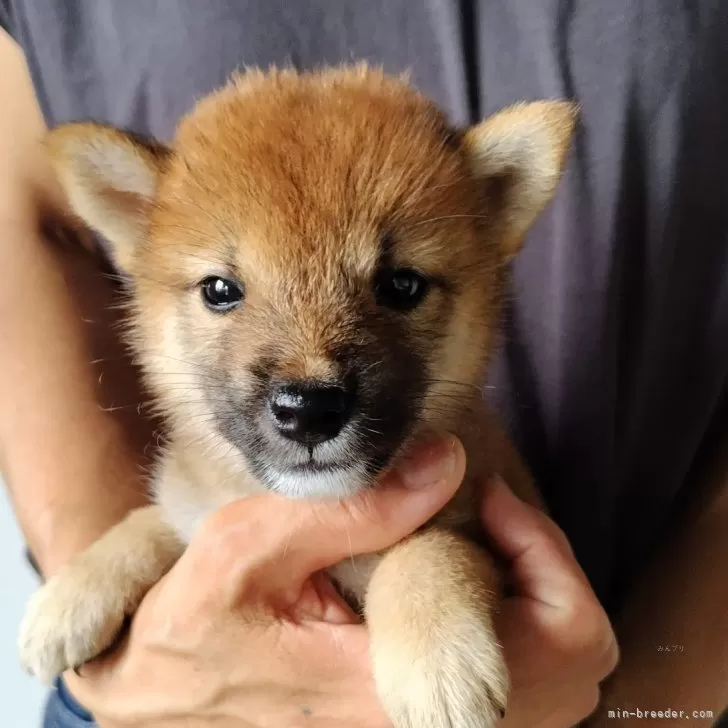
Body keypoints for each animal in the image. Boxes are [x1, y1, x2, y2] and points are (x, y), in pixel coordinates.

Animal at [17, 67, 576, 728]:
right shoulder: (200, 514)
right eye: (220, 290)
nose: (309, 411)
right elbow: (155, 520)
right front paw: (73, 594)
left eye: (402, 285)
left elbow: (432, 547)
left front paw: (439, 659)